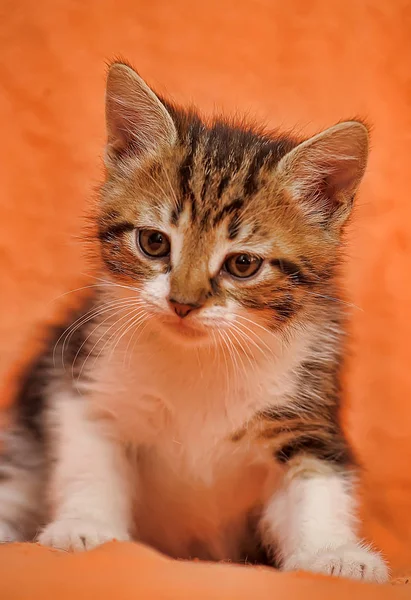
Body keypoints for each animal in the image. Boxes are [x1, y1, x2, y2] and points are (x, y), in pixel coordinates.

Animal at [0, 62, 390, 580]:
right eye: (153, 242)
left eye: (243, 264)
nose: (182, 302)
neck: (201, 358)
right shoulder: (81, 376)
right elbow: (88, 457)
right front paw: (85, 527)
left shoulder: (305, 407)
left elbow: (316, 479)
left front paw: (335, 554)